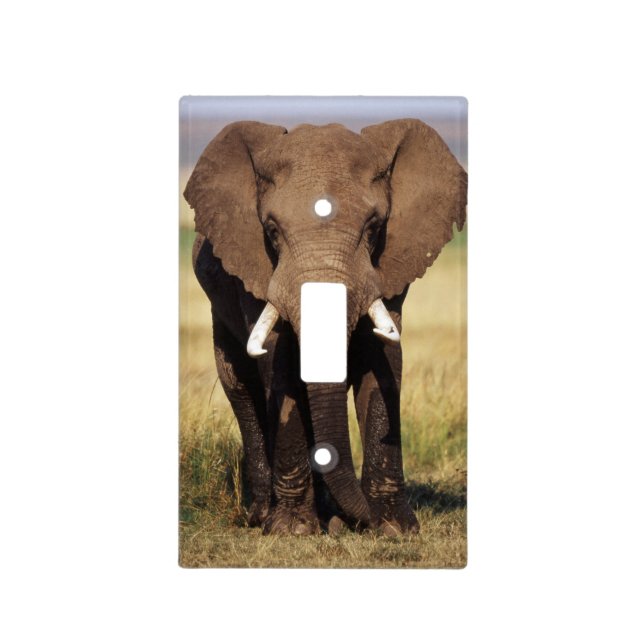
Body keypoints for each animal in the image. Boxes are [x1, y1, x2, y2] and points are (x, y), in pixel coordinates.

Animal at [184, 118, 467, 536]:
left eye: (373, 227)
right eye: (271, 230)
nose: (359, 520)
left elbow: (383, 361)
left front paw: (392, 528)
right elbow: (280, 367)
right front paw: (294, 531)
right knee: (241, 388)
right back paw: (265, 516)